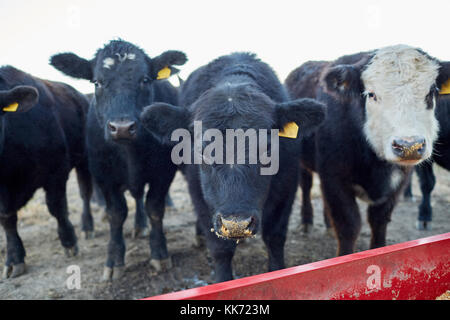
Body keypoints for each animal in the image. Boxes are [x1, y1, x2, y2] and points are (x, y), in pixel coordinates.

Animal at [0, 66, 91, 278]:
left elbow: (57, 207)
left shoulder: (56, 172)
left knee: (85, 193)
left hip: (85, 159)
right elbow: (7, 219)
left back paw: (87, 227)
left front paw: (69, 242)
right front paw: (14, 258)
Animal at [50, 40, 187, 280]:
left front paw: (159, 253)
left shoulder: (163, 172)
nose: (122, 128)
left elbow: (154, 208)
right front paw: (114, 259)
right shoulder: (104, 176)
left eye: (145, 80)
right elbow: (116, 213)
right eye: (97, 82)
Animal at [139, 53, 326, 282]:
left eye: (267, 148)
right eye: (202, 150)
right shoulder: (201, 198)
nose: (237, 224)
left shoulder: (286, 189)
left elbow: (275, 238)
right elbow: (220, 249)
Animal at [284, 44, 450, 255]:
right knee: (306, 185)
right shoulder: (334, 177)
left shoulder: (398, 183)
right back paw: (307, 222)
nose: (409, 146)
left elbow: (379, 221)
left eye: (431, 92)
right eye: (371, 94)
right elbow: (348, 225)